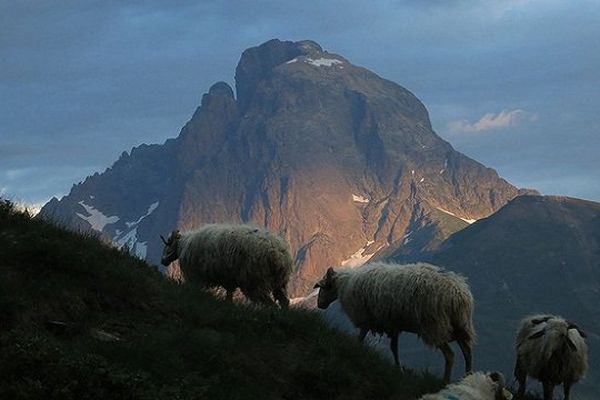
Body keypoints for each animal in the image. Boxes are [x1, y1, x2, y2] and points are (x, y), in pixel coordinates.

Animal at [158, 223, 292, 308]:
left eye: (168, 244)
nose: (163, 261)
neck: (182, 244)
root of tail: (278, 254)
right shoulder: (228, 280)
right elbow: (229, 298)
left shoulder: (194, 277)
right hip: (280, 282)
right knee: (284, 302)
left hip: (256, 282)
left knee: (271, 304)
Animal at [312, 260, 476, 382]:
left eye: (323, 288)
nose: (319, 305)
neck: (344, 284)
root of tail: (459, 295)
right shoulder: (393, 324)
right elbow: (394, 348)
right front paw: (399, 369)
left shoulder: (366, 319)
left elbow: (360, 338)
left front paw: (355, 350)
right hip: (460, 325)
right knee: (467, 351)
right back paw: (467, 376)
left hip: (434, 325)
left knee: (450, 355)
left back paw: (446, 381)